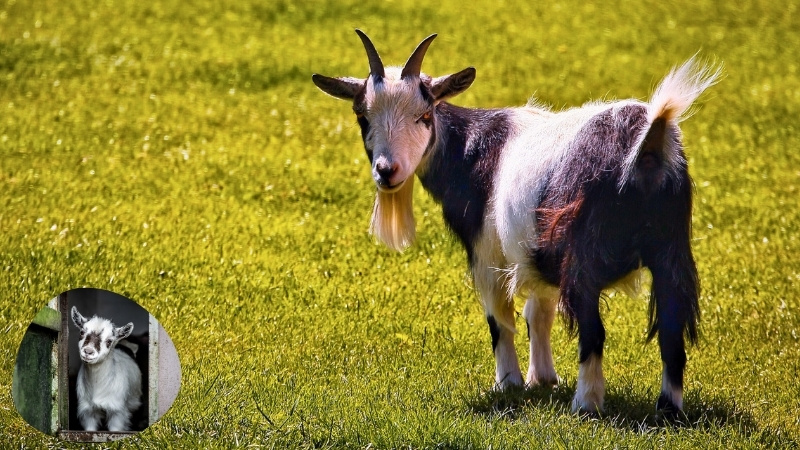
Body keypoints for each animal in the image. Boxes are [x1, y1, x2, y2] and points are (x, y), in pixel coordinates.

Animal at [312, 30, 720, 414]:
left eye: (424, 115)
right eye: (362, 117)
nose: (387, 171)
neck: (472, 150)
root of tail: (647, 144)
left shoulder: (486, 251)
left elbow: (499, 318)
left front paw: (507, 383)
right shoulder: (535, 250)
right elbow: (538, 313)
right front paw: (543, 378)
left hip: (584, 254)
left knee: (593, 330)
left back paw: (586, 404)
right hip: (671, 248)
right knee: (672, 328)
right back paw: (668, 408)